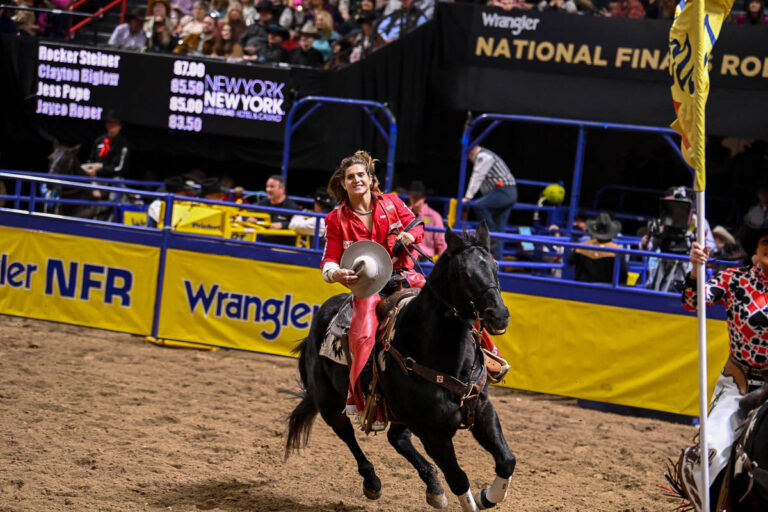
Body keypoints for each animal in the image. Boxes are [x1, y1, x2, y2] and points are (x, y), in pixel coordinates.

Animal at [288, 222, 516, 510]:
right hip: (329, 402)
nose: (499, 315)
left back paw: (433, 487)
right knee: (347, 434)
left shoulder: (482, 411)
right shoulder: (432, 432)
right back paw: (372, 481)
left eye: (496, 266)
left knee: (397, 438)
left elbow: (506, 460)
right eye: (463, 273)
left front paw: (488, 496)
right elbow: (458, 478)